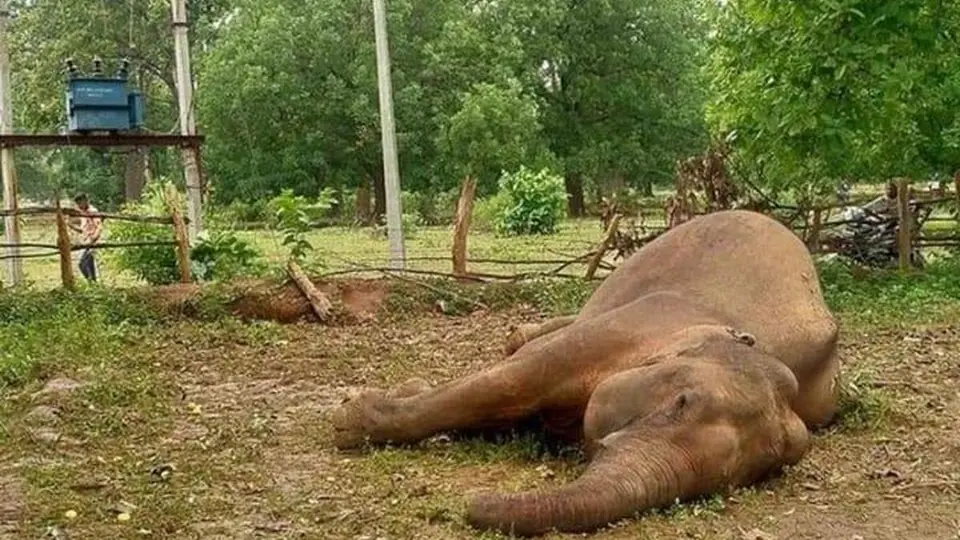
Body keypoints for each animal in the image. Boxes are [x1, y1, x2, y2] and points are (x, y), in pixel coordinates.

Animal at [329, 209, 840, 537]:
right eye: (682, 402)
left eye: (744, 476)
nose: (467, 505)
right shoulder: (642, 319)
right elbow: (513, 379)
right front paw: (349, 419)